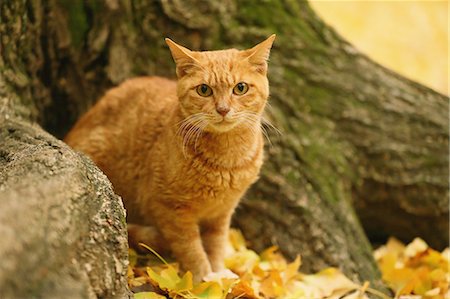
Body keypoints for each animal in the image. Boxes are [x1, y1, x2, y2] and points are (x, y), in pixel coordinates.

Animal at [63, 35, 274, 282]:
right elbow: (192, 249)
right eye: (204, 90)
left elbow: (216, 244)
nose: (223, 109)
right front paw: (204, 278)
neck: (228, 157)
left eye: (240, 88)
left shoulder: (221, 213)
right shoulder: (170, 209)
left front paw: (219, 273)